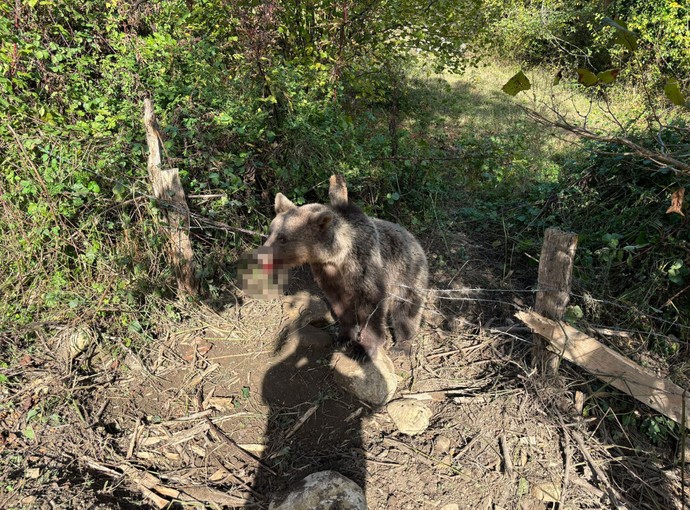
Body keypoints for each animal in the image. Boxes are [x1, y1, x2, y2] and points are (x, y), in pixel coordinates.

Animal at [262, 175, 428, 358]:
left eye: (283, 238)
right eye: (270, 231)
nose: (261, 256)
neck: (337, 258)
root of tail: (414, 239)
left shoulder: (364, 268)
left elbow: (372, 307)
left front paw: (364, 348)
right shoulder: (329, 276)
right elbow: (341, 306)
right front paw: (344, 338)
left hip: (407, 274)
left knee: (406, 310)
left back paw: (403, 345)